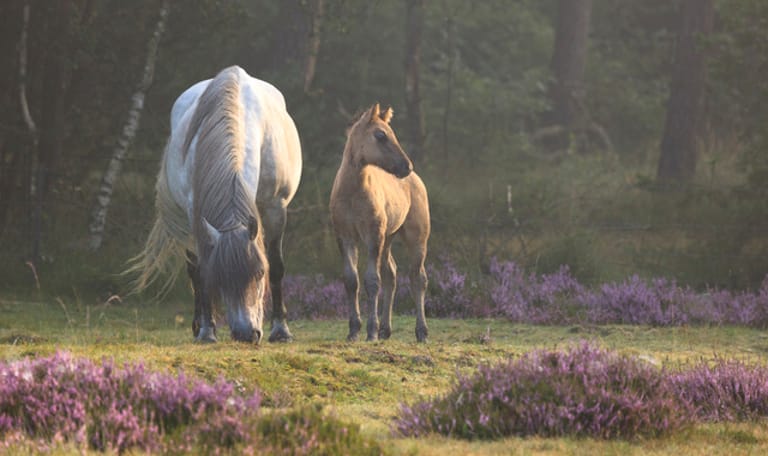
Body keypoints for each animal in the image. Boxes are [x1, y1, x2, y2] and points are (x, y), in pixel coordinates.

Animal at [128, 66, 302, 344]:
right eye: (221, 278)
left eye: (259, 274)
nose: (246, 334)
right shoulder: (194, 215)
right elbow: (201, 272)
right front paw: (207, 331)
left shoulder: (276, 207)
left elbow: (276, 265)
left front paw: (281, 330)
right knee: (192, 269)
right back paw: (198, 324)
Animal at [329, 103, 430, 342]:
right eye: (381, 135)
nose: (406, 166)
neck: (352, 193)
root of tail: (417, 180)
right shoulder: (345, 237)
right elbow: (352, 281)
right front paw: (353, 331)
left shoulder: (372, 236)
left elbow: (372, 281)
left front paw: (371, 331)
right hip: (388, 239)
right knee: (391, 275)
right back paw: (386, 329)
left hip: (416, 238)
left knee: (418, 278)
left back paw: (421, 332)